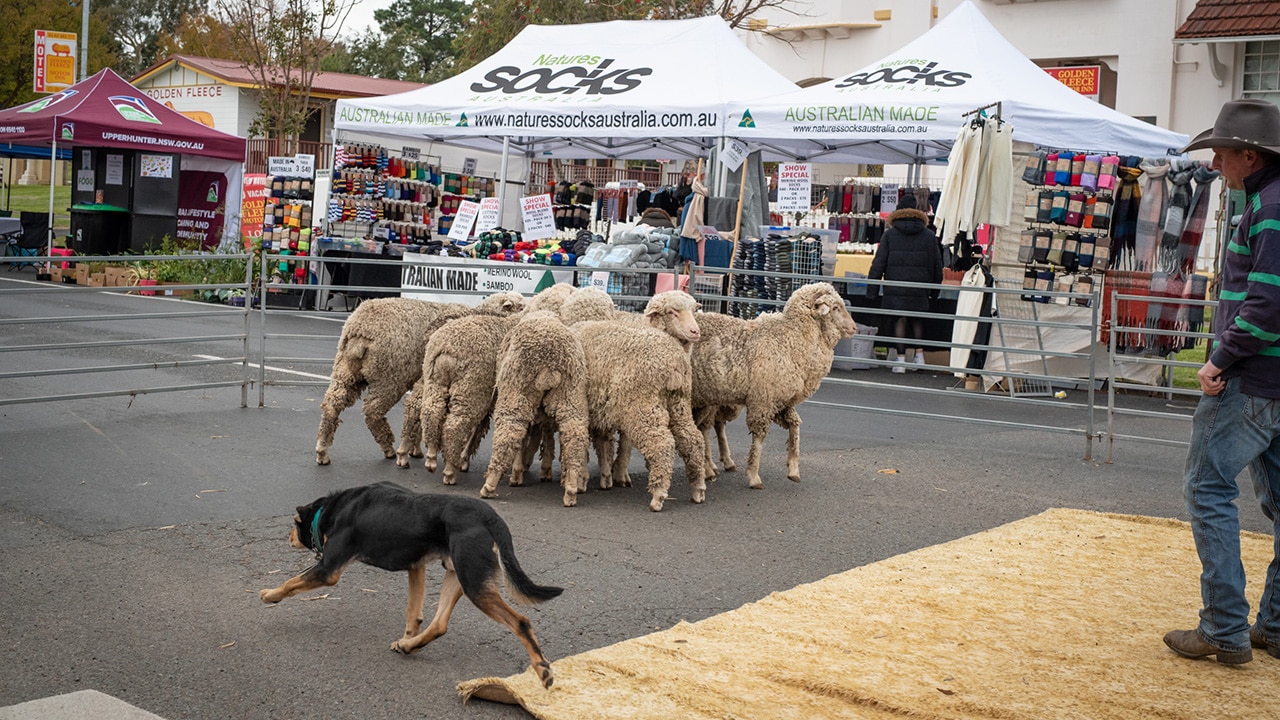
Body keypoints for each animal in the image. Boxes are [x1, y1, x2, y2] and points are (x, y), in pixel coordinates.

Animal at [258, 479, 560, 681]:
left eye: (293, 525)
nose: (287, 537)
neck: (334, 509)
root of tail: (491, 517)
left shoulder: (327, 571)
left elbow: (291, 582)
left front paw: (270, 594)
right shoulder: (416, 565)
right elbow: (413, 613)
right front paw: (406, 638)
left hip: (474, 583)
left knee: (520, 622)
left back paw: (541, 668)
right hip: (457, 574)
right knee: (439, 624)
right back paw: (408, 646)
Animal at [312, 292, 522, 466]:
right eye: (520, 306)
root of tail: (359, 330)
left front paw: (416, 449)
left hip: (345, 370)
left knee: (332, 403)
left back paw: (322, 450)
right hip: (389, 378)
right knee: (373, 411)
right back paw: (389, 448)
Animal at [573, 286, 706, 509]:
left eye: (694, 310)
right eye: (671, 312)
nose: (695, 332)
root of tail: (675, 361)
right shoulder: (600, 406)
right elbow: (605, 440)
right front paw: (607, 475)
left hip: (641, 406)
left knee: (662, 443)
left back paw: (658, 495)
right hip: (678, 401)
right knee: (692, 439)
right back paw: (697, 488)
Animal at [691, 280, 860, 486]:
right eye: (835, 307)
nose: (854, 328)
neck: (791, 338)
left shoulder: (782, 400)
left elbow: (795, 426)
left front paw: (793, 468)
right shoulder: (764, 400)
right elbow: (759, 437)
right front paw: (754, 475)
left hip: (708, 398)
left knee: (706, 426)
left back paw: (713, 466)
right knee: (704, 427)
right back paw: (708, 468)